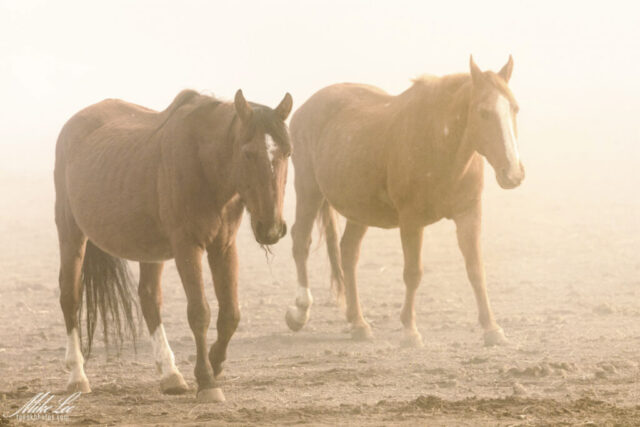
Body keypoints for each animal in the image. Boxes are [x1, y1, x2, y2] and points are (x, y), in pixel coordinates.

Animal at [55, 88, 293, 402]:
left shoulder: (224, 247)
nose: (271, 228)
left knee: (149, 299)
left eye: (287, 153)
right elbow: (199, 312)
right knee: (70, 296)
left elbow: (230, 313)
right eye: (248, 153)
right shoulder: (187, 247)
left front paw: (214, 364)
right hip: (71, 234)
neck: (205, 166)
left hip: (148, 249)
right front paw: (207, 381)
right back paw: (76, 376)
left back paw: (170, 375)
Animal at [285, 56, 524, 347]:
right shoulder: (411, 220)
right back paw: (299, 312)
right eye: (484, 112)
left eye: (514, 108)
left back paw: (358, 322)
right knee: (301, 242)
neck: (439, 143)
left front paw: (492, 328)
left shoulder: (469, 213)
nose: (513, 173)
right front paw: (410, 330)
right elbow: (413, 273)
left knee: (348, 253)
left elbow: (476, 270)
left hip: (358, 209)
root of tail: (303, 109)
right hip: (308, 190)